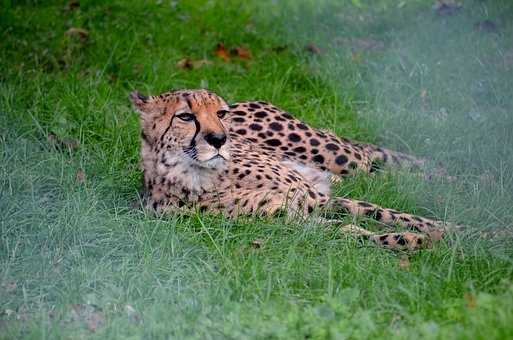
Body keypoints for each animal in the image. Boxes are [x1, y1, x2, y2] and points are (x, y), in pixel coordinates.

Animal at [131, 89, 452, 251]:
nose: (219, 139)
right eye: (185, 117)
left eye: (219, 113)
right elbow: (351, 231)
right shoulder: (293, 220)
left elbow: (389, 214)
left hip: (339, 157)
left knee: (378, 162)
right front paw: (412, 240)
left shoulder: (317, 199)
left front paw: (454, 231)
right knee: (381, 175)